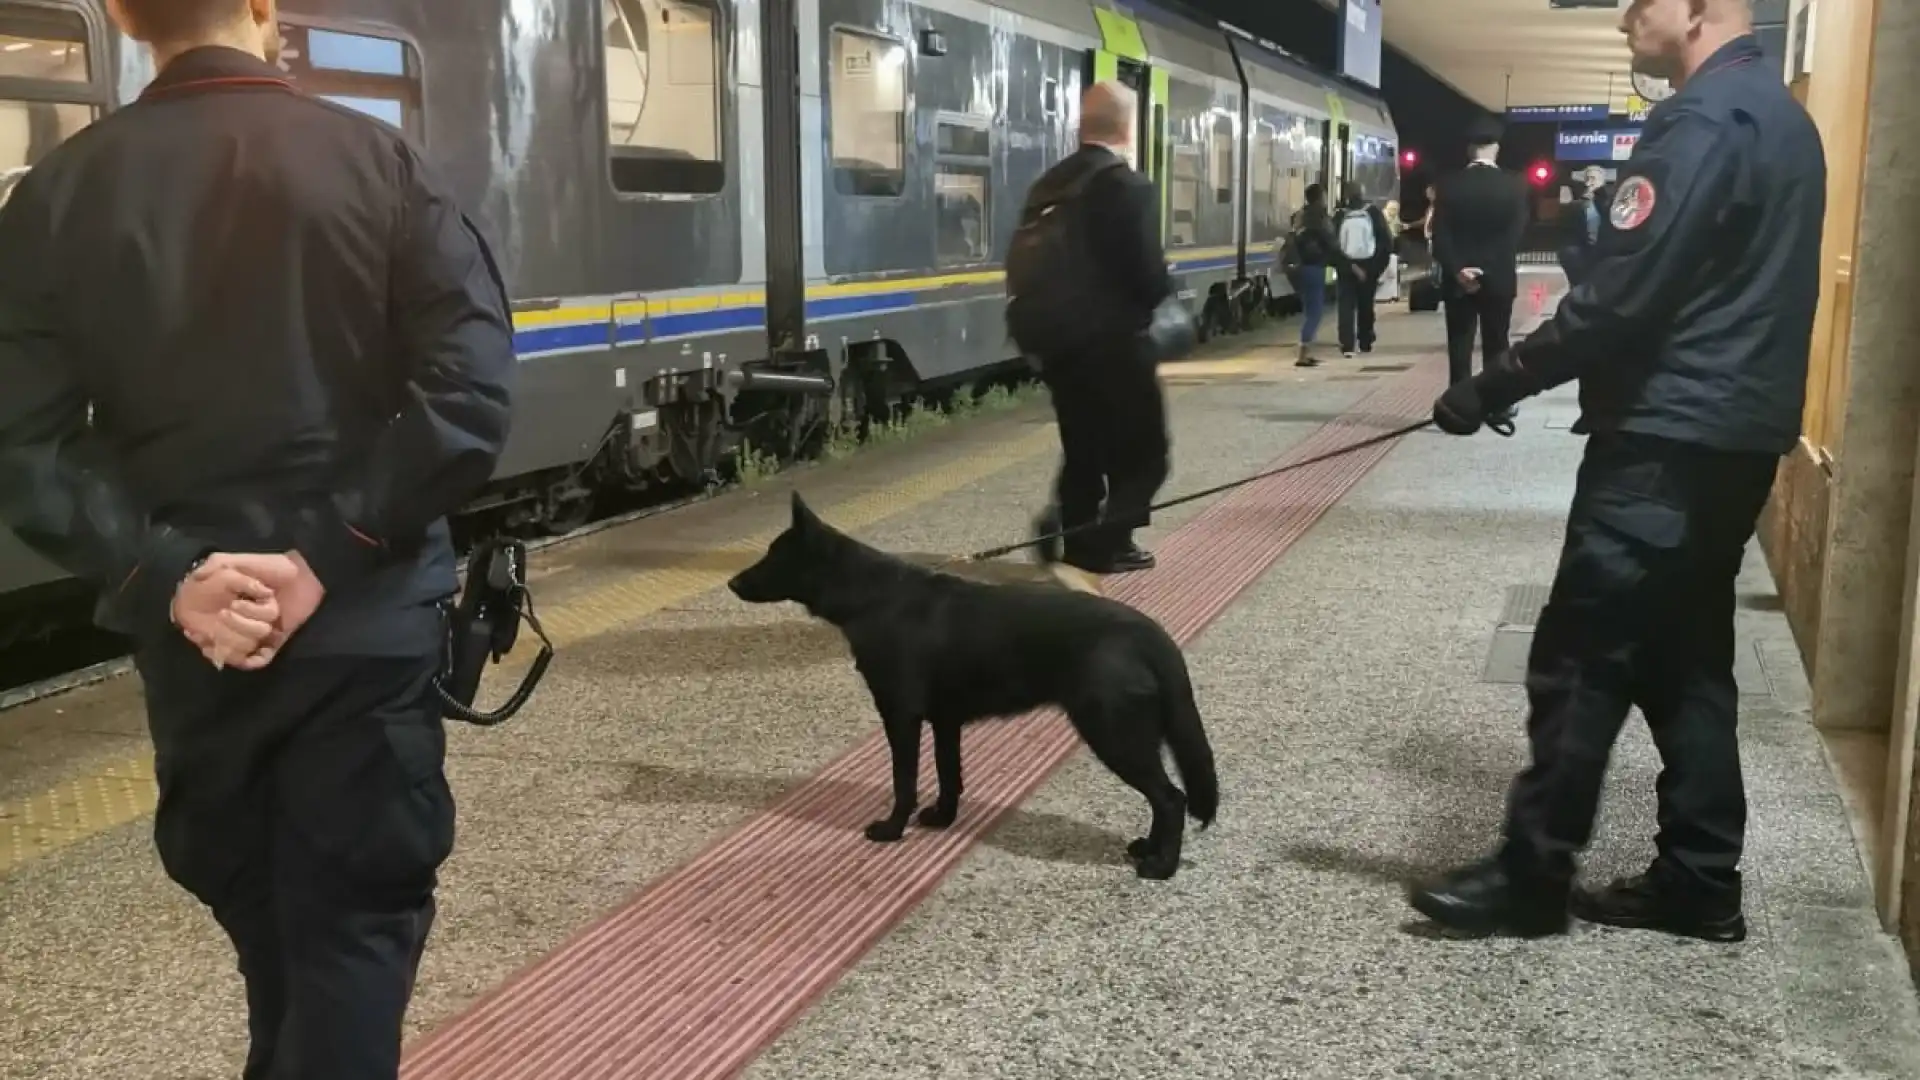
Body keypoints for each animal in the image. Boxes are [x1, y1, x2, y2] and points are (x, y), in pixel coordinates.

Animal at [721, 491, 1213, 880]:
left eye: (774, 555)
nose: (731, 582)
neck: (873, 596)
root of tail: (1150, 635)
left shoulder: (901, 716)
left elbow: (904, 780)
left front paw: (892, 830)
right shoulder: (945, 720)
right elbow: (949, 774)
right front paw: (942, 818)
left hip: (1113, 733)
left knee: (1170, 799)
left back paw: (1161, 866)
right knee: (1164, 799)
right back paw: (1148, 849)